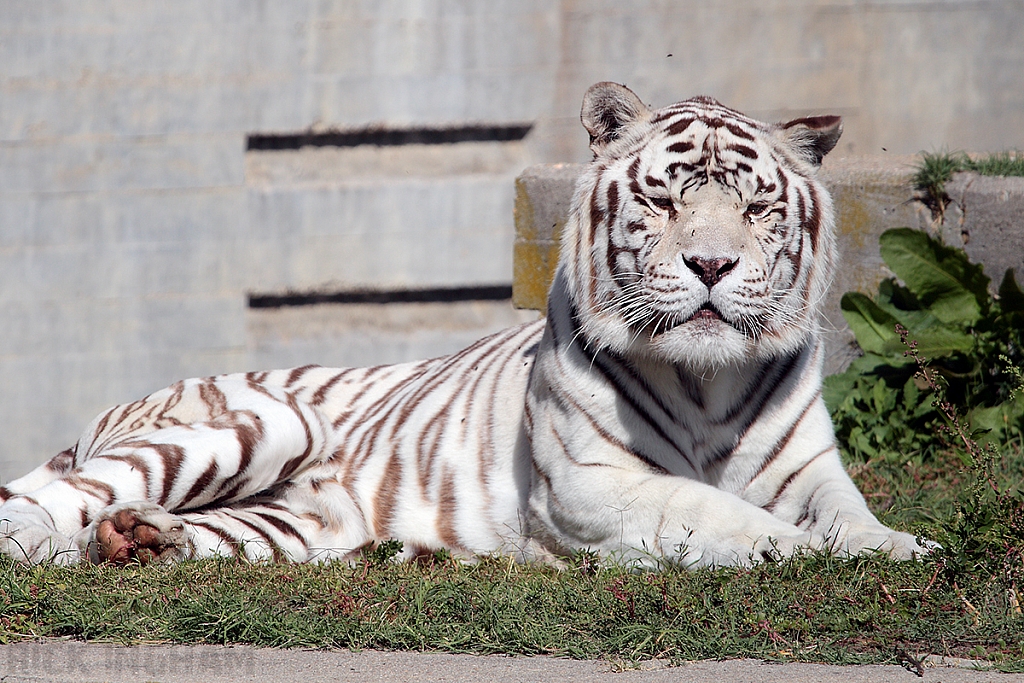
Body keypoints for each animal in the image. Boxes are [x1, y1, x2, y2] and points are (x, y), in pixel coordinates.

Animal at [0, 82, 929, 569]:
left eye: (756, 208)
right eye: (666, 201)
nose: (711, 265)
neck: (707, 377)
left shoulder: (810, 471)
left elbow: (848, 518)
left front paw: (903, 547)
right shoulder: (592, 484)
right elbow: (727, 515)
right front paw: (806, 551)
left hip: (300, 524)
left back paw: (138, 541)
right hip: (261, 424)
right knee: (50, 502)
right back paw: (46, 538)